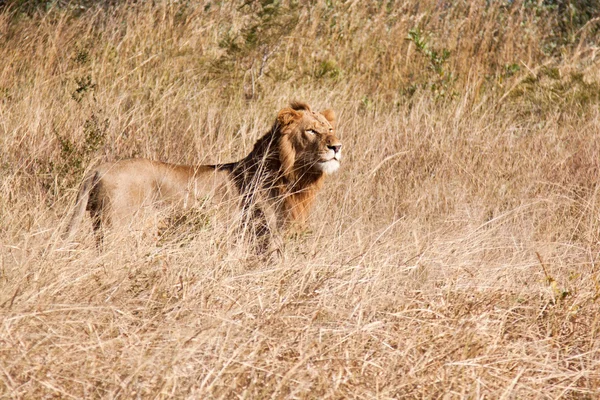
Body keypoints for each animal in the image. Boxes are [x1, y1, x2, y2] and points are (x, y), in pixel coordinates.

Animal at [64, 101, 342, 250]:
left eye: (330, 129)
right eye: (311, 131)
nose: (337, 147)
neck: (294, 177)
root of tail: (97, 169)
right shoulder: (266, 238)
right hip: (117, 231)